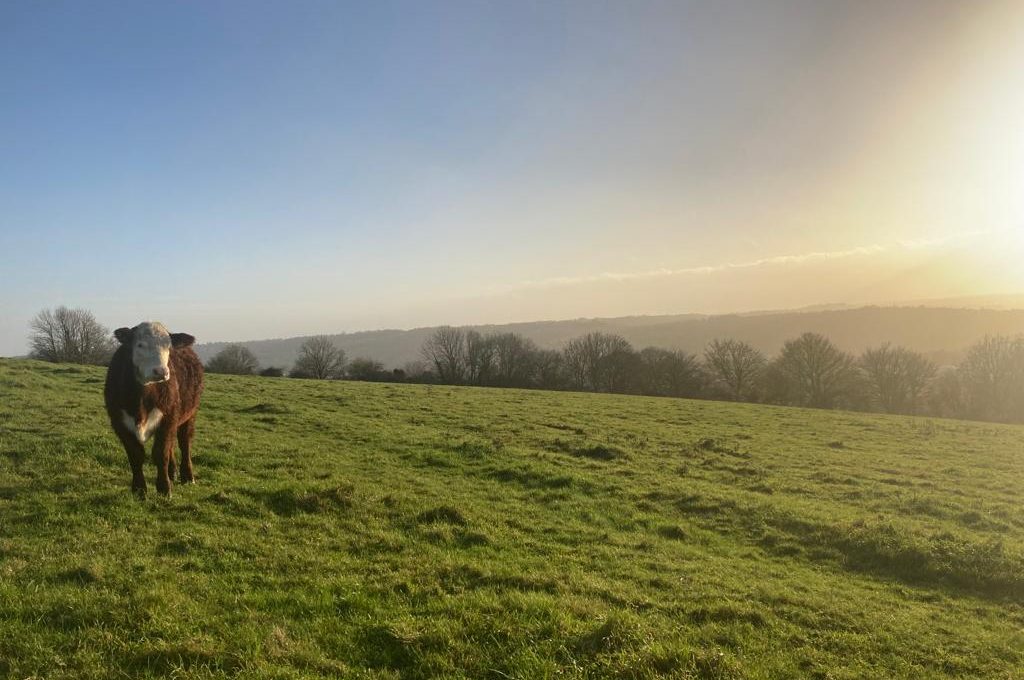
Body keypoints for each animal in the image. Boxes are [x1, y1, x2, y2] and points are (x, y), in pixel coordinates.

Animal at [104, 321, 204, 497]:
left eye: (168, 347)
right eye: (140, 345)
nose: (161, 371)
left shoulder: (168, 418)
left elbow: (160, 453)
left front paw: (164, 488)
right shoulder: (119, 423)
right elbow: (135, 455)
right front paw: (139, 489)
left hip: (190, 414)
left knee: (184, 442)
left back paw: (187, 476)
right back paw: (172, 472)